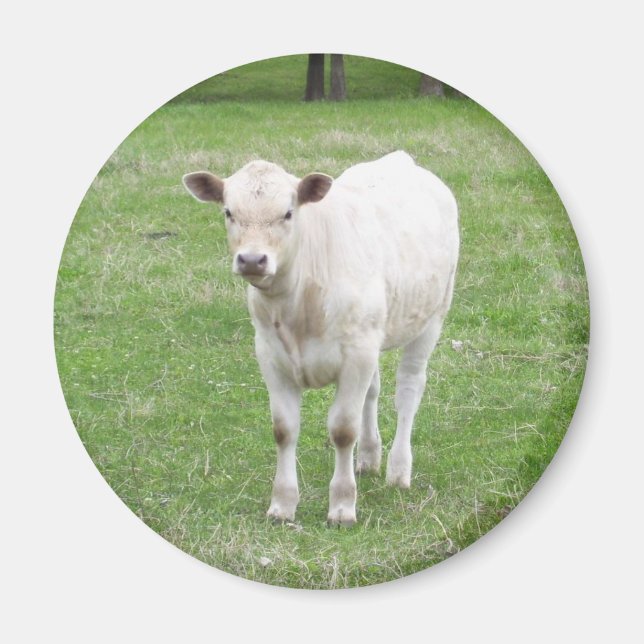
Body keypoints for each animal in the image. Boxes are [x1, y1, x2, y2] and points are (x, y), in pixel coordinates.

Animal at [183, 151, 459, 526]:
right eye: (228, 212)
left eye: (288, 212)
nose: (252, 259)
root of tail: (400, 160)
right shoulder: (271, 356)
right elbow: (284, 429)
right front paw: (282, 504)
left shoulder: (356, 355)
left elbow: (343, 429)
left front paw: (342, 506)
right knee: (373, 392)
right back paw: (369, 458)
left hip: (431, 317)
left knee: (408, 391)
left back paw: (399, 470)